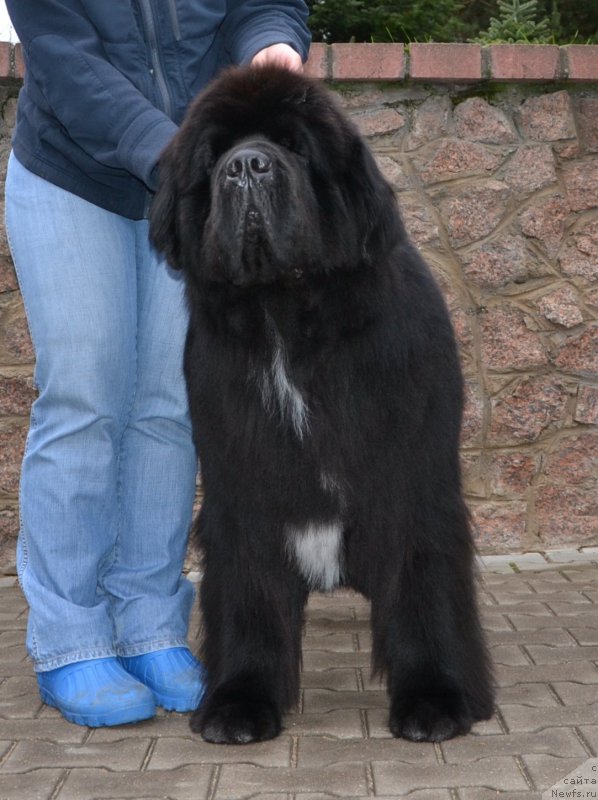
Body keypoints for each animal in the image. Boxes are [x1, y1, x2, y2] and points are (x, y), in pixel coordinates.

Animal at [151, 65, 496, 748]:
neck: (285, 321)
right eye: (214, 156)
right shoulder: (242, 490)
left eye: (295, 147)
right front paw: (239, 701)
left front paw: (435, 699)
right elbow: (250, 596)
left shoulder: (413, 480)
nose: (246, 165)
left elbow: (424, 587)